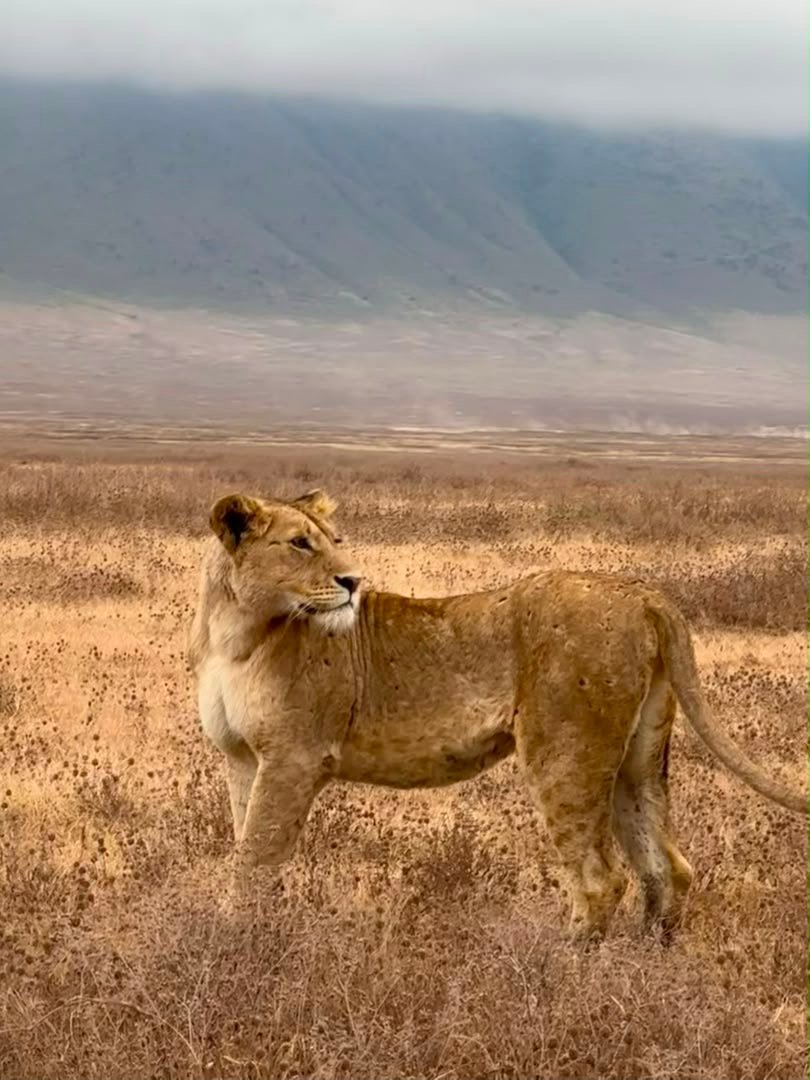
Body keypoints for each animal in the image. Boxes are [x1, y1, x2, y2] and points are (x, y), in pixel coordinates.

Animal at [188, 488, 805, 941]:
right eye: (299, 544)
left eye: (333, 542)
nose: (353, 581)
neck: (236, 632)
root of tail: (644, 593)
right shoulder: (245, 759)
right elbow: (250, 843)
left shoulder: (295, 758)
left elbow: (254, 858)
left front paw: (238, 943)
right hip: (638, 758)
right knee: (667, 867)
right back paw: (647, 967)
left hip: (565, 753)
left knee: (600, 880)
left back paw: (560, 969)